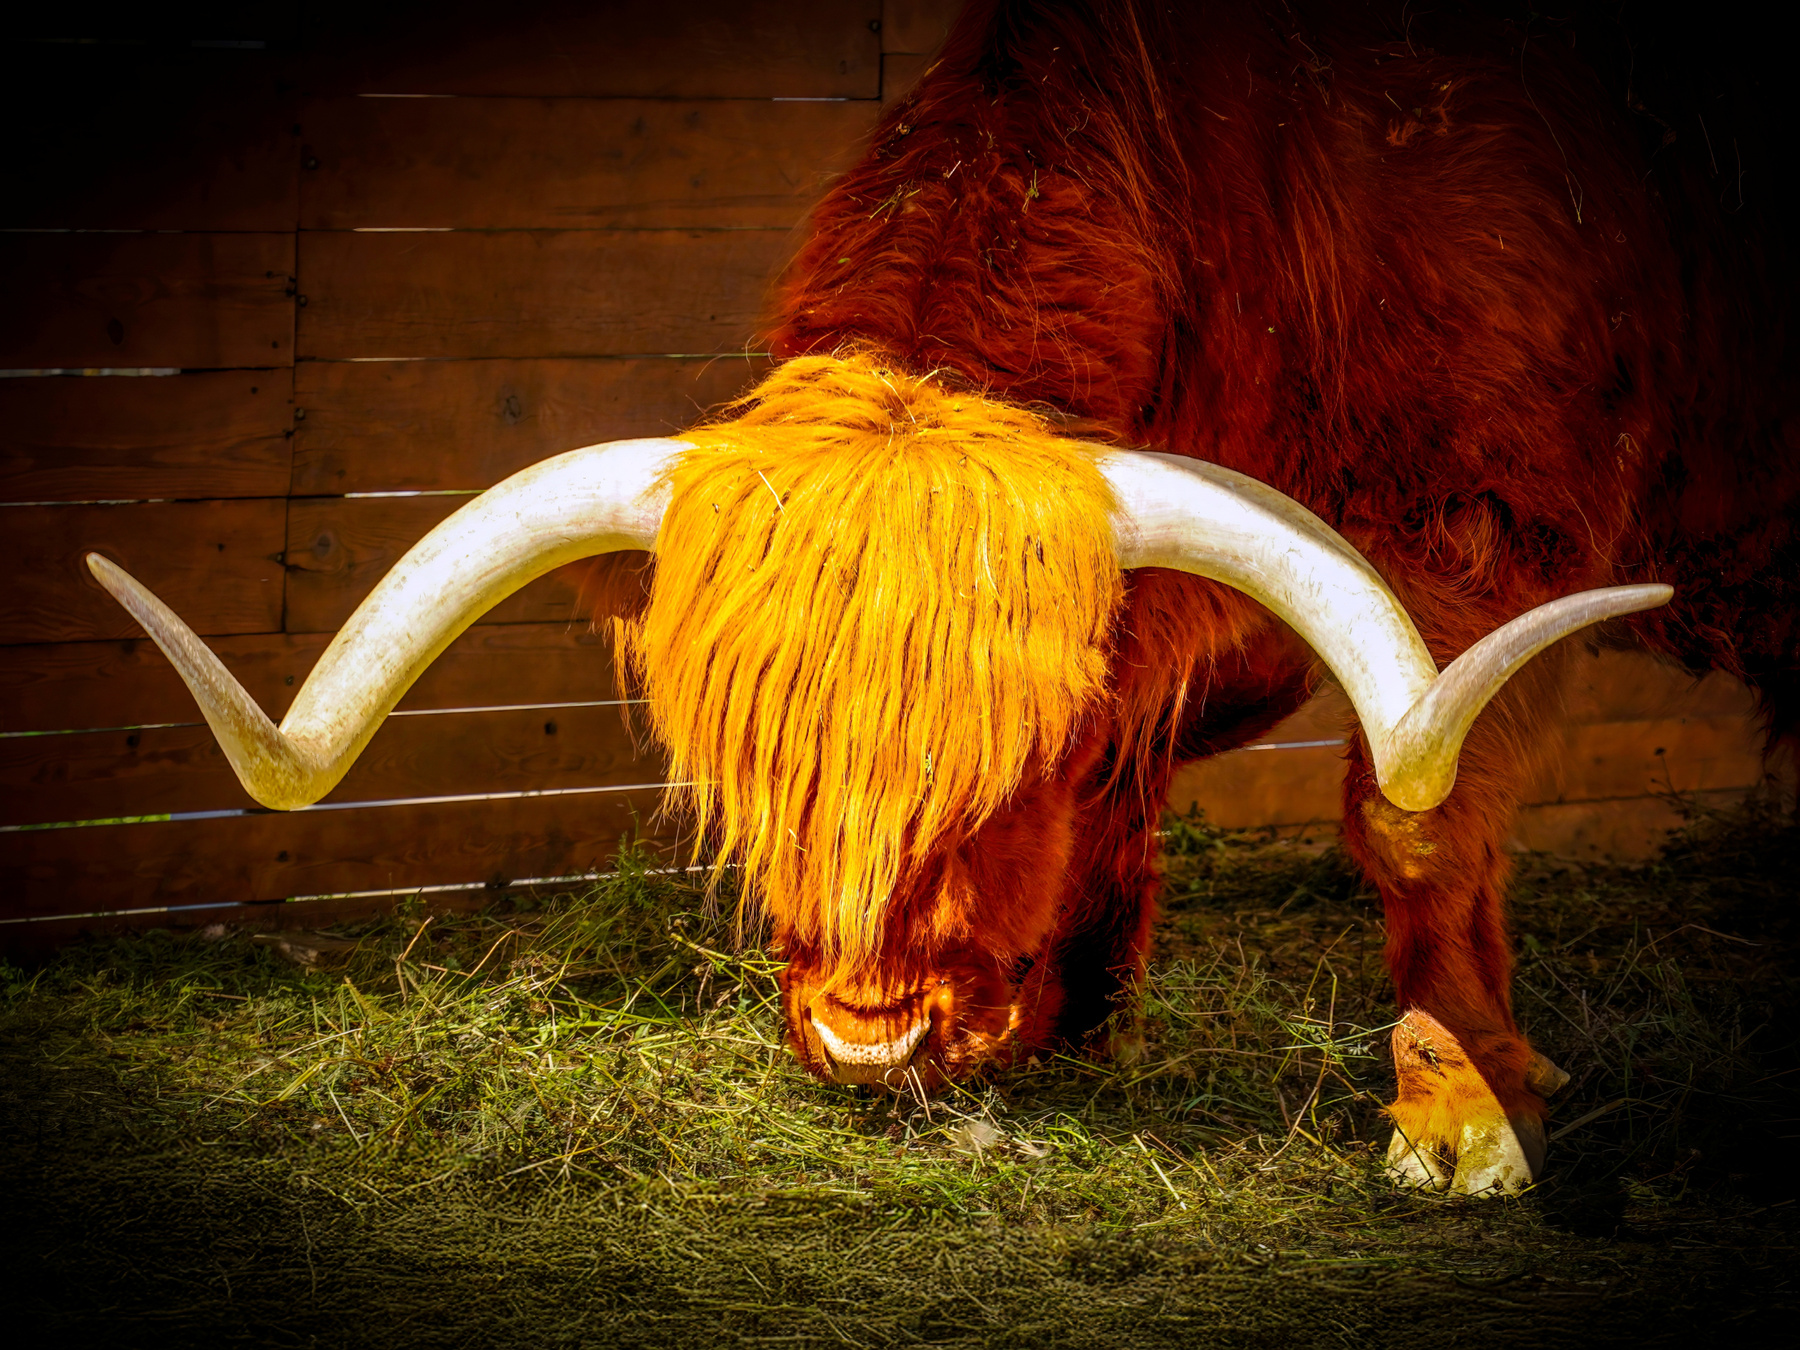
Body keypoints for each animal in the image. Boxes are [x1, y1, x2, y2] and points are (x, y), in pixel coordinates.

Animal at [86, 0, 1793, 1197]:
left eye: (1014, 749)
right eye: (754, 766)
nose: (867, 1033)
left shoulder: (1497, 531)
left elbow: (1415, 815)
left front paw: (1465, 1110)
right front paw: (1086, 1022)